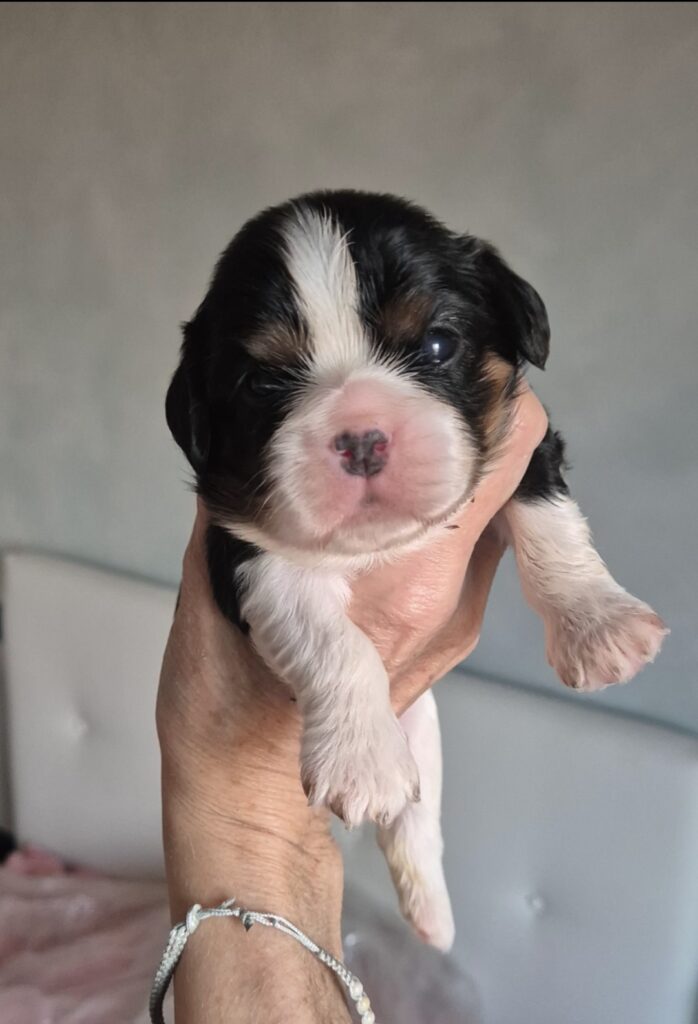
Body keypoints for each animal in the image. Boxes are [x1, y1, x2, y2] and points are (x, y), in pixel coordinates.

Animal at [165, 190, 667, 950]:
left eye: (435, 345)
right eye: (262, 383)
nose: (362, 438)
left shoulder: (526, 446)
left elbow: (551, 525)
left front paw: (598, 626)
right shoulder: (248, 552)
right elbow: (332, 640)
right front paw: (359, 757)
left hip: (426, 734)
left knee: (418, 825)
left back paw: (433, 919)